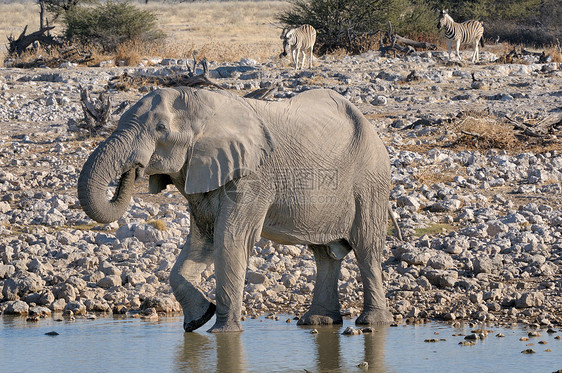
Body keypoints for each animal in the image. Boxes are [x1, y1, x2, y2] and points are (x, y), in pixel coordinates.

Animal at [77, 86, 394, 332]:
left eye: (161, 129)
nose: (131, 171)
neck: (206, 105)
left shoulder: (252, 176)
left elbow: (230, 239)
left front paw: (222, 331)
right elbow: (202, 241)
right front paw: (199, 319)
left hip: (371, 181)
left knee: (366, 248)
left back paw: (372, 323)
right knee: (324, 255)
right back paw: (318, 321)